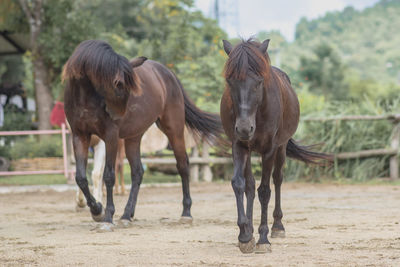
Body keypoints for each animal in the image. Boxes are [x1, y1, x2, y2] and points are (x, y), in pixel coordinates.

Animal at [64, 39, 223, 230]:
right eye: (118, 83)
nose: (117, 115)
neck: (86, 97)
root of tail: (168, 73)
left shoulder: (109, 137)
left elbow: (108, 176)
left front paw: (107, 217)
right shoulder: (80, 136)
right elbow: (80, 177)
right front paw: (97, 211)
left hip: (173, 130)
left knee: (182, 165)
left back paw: (186, 213)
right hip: (134, 136)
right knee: (138, 172)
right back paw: (126, 215)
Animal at [220, 38, 330, 254]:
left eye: (259, 82)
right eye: (230, 81)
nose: (244, 128)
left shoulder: (269, 149)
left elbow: (265, 191)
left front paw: (263, 238)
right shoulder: (239, 145)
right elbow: (240, 184)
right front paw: (245, 235)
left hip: (281, 148)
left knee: (277, 180)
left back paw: (278, 226)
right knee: (250, 185)